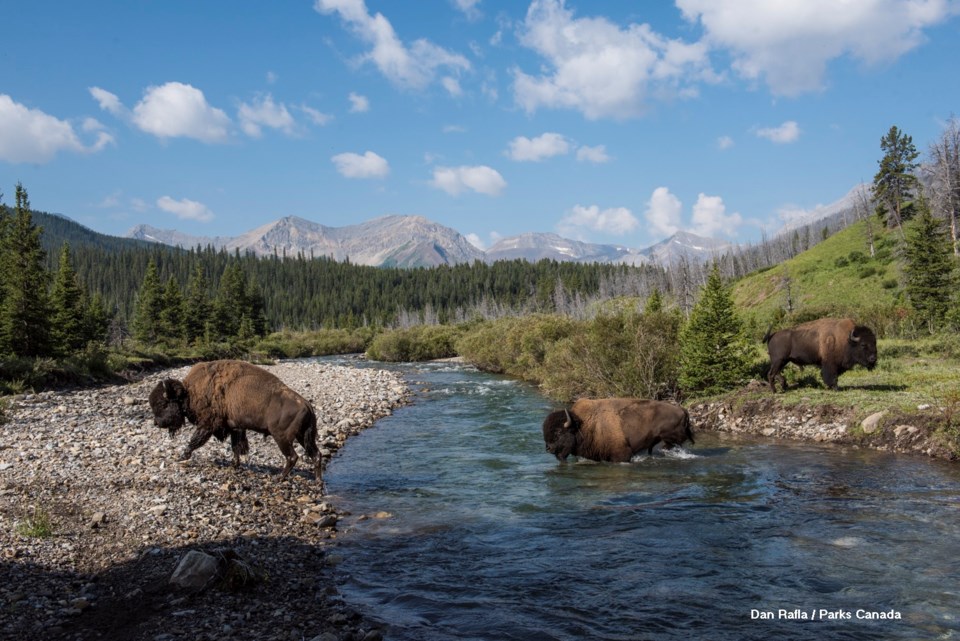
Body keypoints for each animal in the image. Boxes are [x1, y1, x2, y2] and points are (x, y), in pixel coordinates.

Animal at [148, 358, 322, 478]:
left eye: (163, 404)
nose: (156, 423)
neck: (189, 393)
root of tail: (306, 404)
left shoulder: (208, 425)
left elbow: (195, 441)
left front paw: (182, 457)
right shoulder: (235, 428)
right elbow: (235, 447)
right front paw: (235, 464)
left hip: (282, 437)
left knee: (292, 457)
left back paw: (280, 478)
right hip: (303, 436)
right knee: (316, 455)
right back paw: (318, 482)